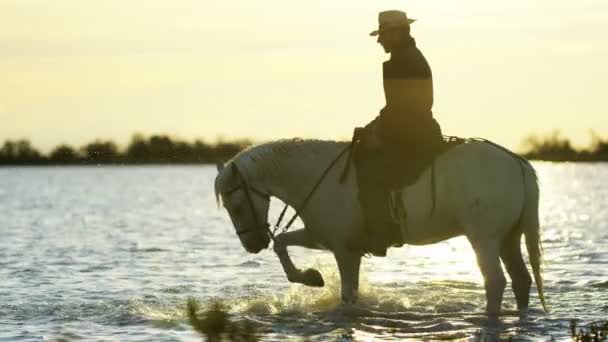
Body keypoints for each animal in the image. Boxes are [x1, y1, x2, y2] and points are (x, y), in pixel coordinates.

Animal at [214, 138, 548, 318]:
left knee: (496, 282)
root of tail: (518, 163)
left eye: (236, 205)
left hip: (485, 239)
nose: (252, 244)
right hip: (508, 237)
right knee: (521, 280)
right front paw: (310, 277)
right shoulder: (322, 238)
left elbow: (349, 296)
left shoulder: (344, 250)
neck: (315, 176)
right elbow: (281, 242)